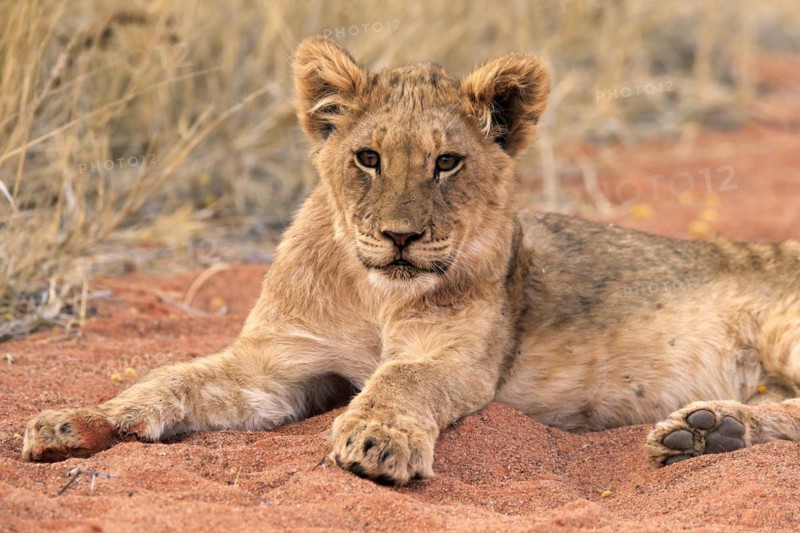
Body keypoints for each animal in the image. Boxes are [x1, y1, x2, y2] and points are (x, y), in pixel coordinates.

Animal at [22, 36, 800, 485]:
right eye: (368, 157)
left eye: (447, 162)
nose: (400, 237)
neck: (374, 293)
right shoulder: (279, 362)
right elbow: (172, 378)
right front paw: (73, 423)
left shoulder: (454, 358)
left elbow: (399, 381)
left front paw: (375, 441)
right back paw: (708, 432)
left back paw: (705, 430)